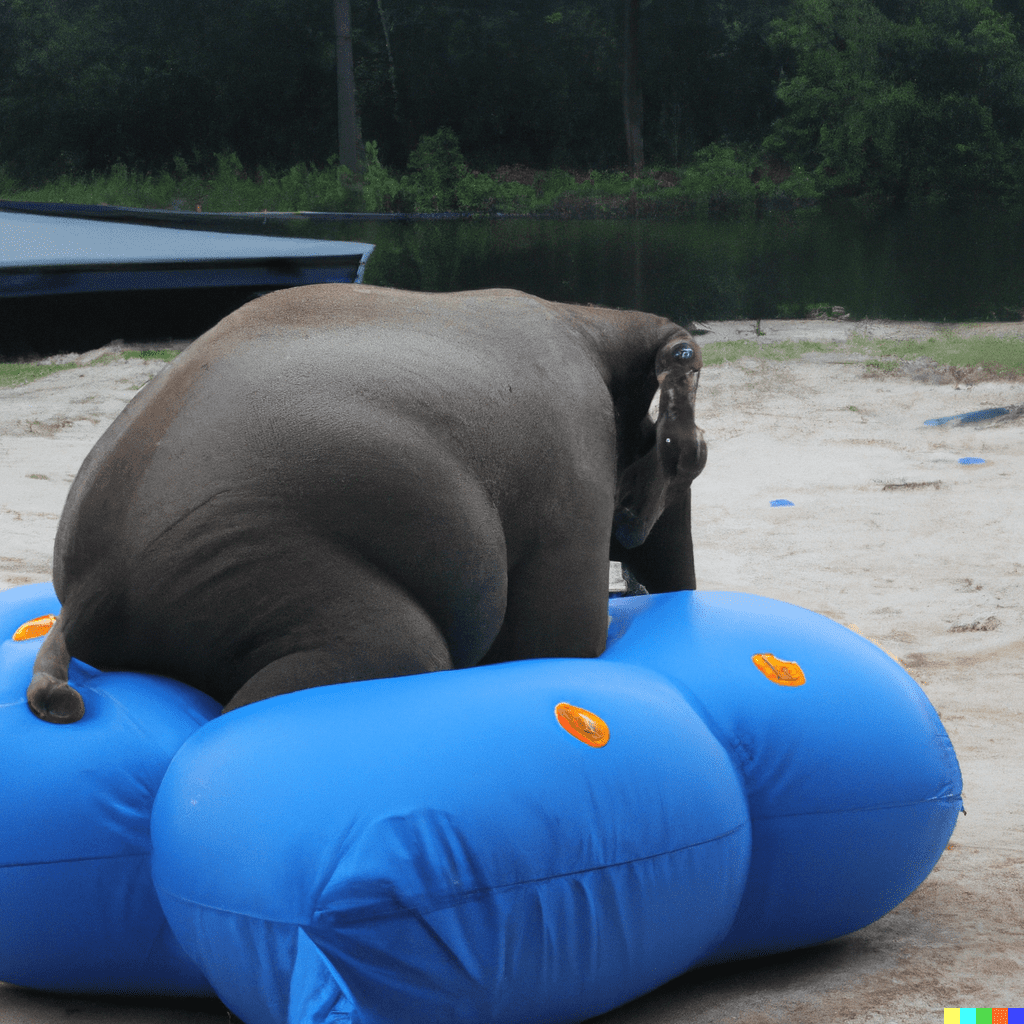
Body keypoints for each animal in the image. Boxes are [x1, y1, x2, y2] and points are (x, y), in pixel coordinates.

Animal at [29, 284, 704, 724]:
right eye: (692, 458)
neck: (591, 322)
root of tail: (87, 588)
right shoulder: (572, 462)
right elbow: (557, 643)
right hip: (241, 556)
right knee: (401, 649)